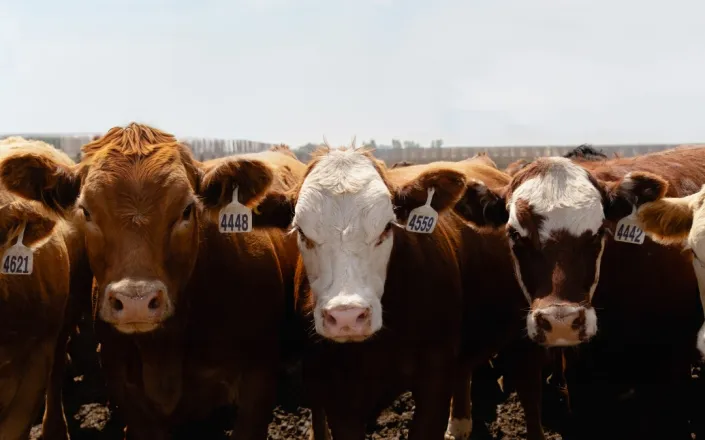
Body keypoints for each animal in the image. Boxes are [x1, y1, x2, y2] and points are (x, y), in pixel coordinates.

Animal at [240, 146, 547, 440]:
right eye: (301, 231)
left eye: (387, 227)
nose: (347, 317)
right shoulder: (337, 396)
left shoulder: (434, 382)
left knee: (531, 395)